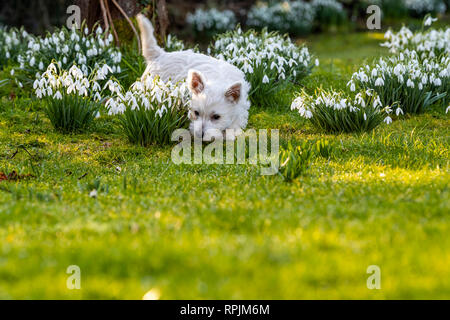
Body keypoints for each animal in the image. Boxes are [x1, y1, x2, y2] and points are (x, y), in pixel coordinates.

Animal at [135, 13, 251, 141]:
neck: (218, 79)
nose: (200, 135)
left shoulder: (240, 109)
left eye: (216, 117)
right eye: (196, 113)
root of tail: (160, 55)